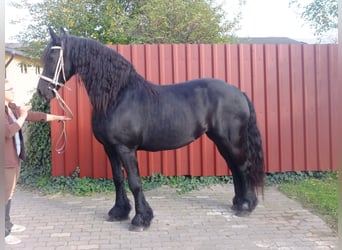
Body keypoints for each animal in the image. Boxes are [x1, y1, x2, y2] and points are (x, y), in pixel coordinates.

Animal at [38, 27, 266, 230]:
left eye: (52, 56)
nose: (41, 91)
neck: (117, 96)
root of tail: (239, 92)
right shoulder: (110, 148)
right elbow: (118, 179)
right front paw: (119, 211)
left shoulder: (126, 149)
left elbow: (134, 182)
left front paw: (141, 219)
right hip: (220, 140)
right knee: (235, 167)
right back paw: (238, 202)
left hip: (231, 139)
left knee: (242, 166)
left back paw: (246, 205)